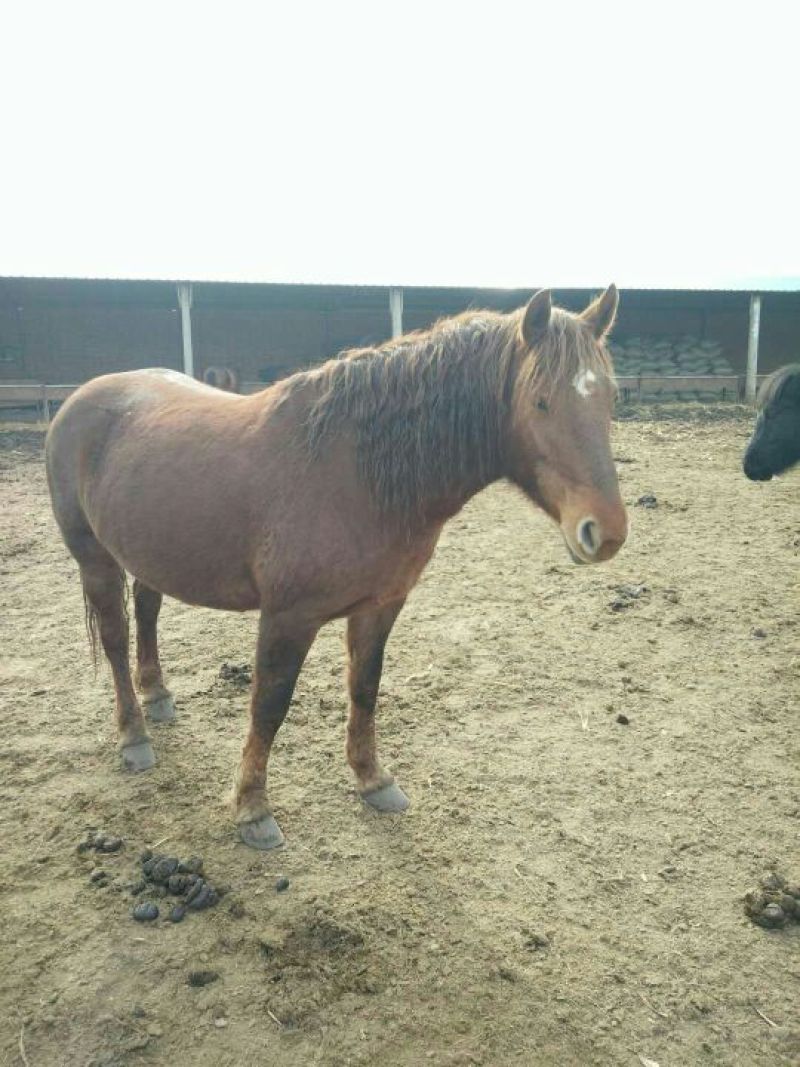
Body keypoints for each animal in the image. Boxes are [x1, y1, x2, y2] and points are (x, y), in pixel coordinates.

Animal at [45, 286, 628, 850]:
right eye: (541, 402)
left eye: (609, 398)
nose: (605, 532)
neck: (356, 473)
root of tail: (79, 399)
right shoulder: (287, 617)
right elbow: (270, 704)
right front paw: (253, 808)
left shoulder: (381, 605)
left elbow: (364, 687)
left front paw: (373, 780)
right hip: (95, 559)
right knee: (116, 638)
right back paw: (135, 736)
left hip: (150, 551)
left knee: (147, 611)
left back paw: (159, 697)